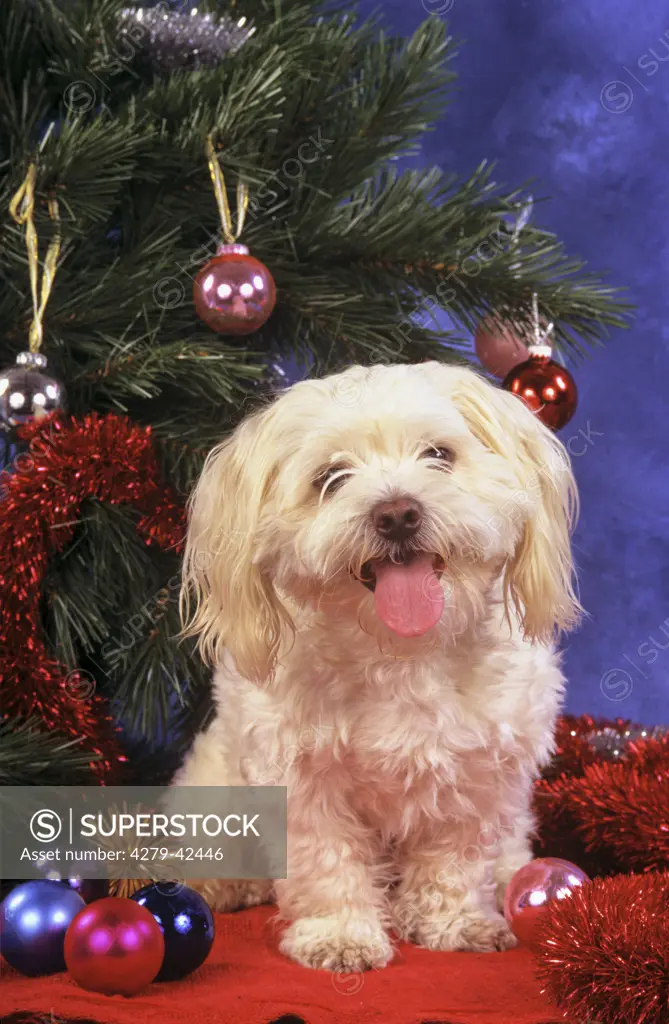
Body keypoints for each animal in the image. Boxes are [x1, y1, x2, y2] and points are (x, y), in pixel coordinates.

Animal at [173, 364, 577, 970]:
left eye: (438, 454)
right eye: (331, 477)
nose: (397, 513)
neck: (401, 654)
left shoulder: (479, 779)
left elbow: (455, 861)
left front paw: (452, 922)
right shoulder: (300, 783)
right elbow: (325, 862)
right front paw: (340, 933)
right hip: (211, 787)